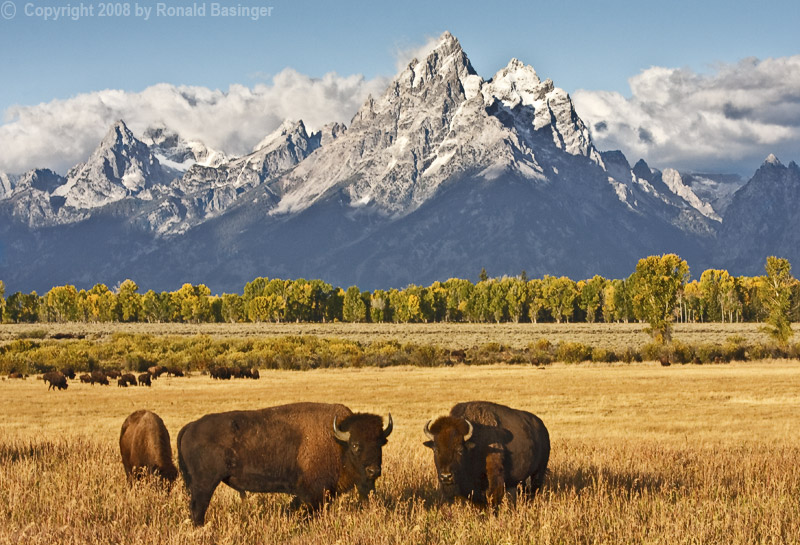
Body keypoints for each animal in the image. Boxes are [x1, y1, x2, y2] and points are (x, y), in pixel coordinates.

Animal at [180, 402, 396, 524]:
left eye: (381, 443)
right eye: (355, 445)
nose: (373, 471)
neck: (336, 441)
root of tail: (190, 427)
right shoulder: (313, 493)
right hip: (204, 485)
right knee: (198, 509)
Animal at [424, 400, 552, 506]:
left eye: (460, 450)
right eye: (435, 449)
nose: (446, 476)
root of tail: (542, 427)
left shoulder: (495, 478)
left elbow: (493, 498)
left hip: (539, 471)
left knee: (534, 490)